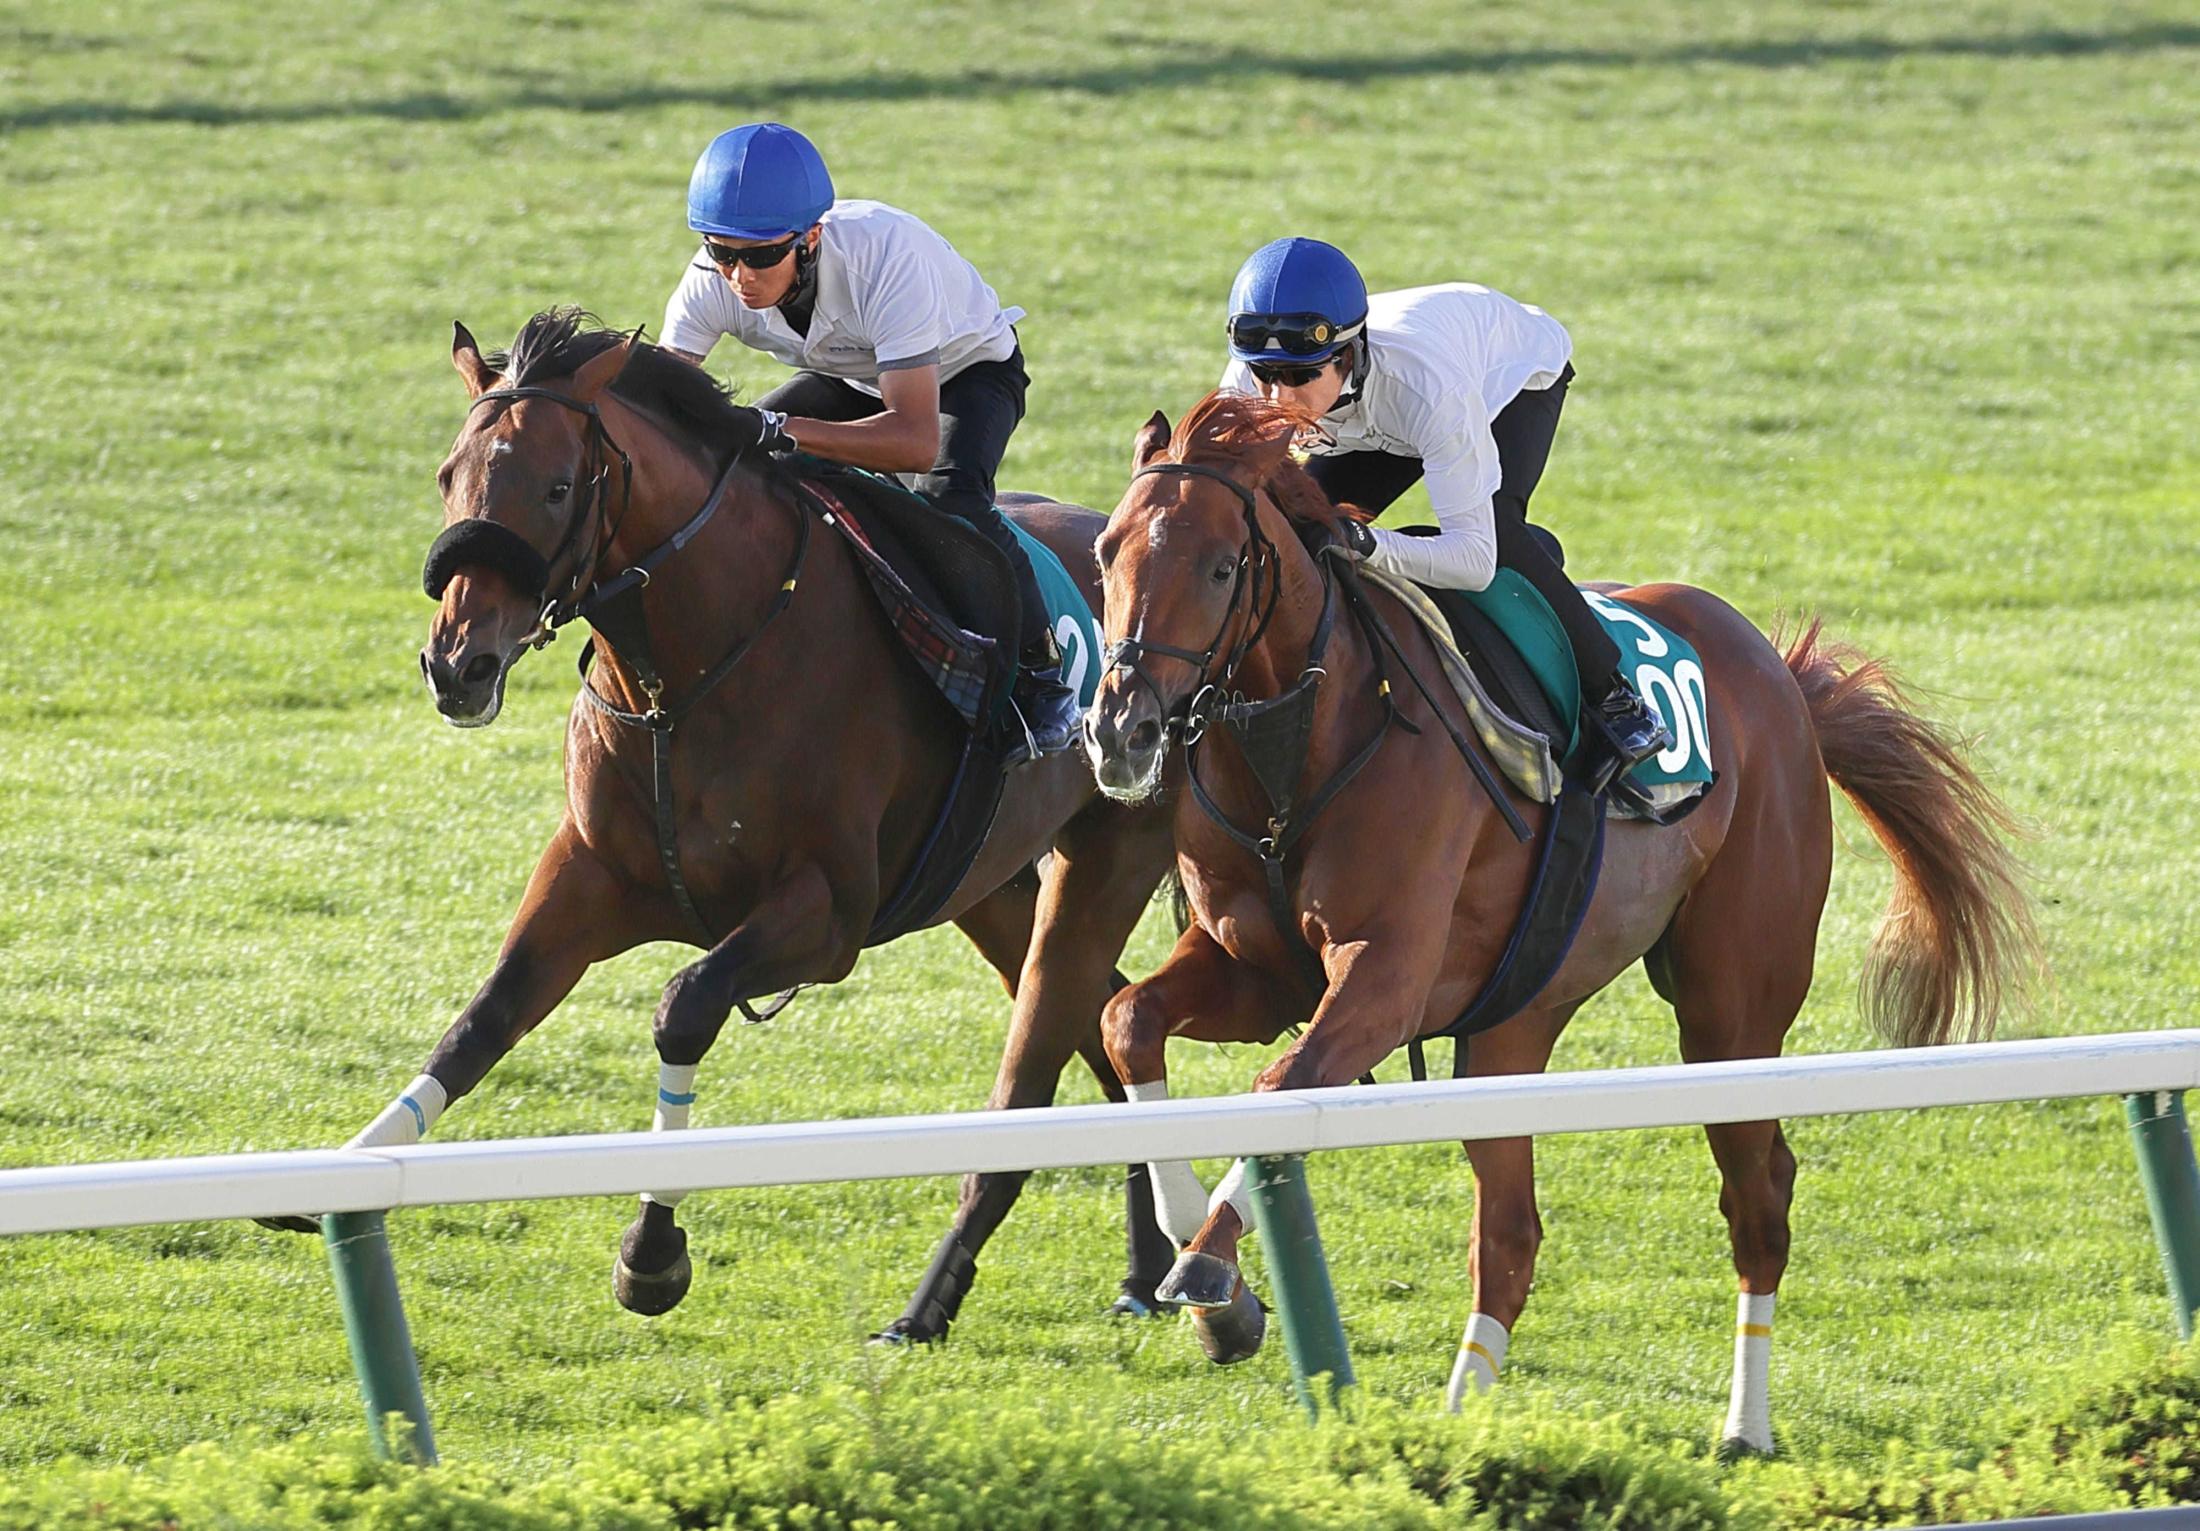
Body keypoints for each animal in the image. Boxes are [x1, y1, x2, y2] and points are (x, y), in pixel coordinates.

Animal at [275, 307, 1188, 1337]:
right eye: (446, 475)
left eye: (556, 486)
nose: (457, 665)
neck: (687, 675)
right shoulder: (589, 874)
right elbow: (483, 1019)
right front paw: (336, 1175)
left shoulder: (826, 915)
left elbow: (684, 1006)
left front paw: (652, 1253)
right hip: (988, 889)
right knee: (1100, 1019)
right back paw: (1143, 1266)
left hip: (1109, 852)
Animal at [1078, 389, 2024, 1451]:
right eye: (1107, 551)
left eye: (1219, 565)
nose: (1119, 731)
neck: (1304, 745)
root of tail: (1781, 678)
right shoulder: (1256, 966)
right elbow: (1129, 1021)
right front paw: (1215, 1283)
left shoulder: (1385, 978)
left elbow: (1283, 1085)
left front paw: (1209, 1268)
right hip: (1512, 1017)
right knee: (1512, 1234)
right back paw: (1460, 1425)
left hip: (1729, 1008)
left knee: (1759, 1192)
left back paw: (1744, 1425)